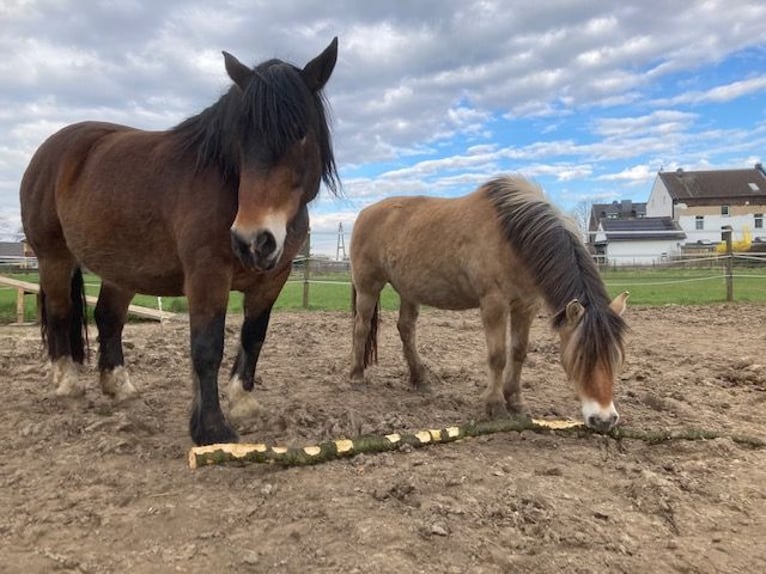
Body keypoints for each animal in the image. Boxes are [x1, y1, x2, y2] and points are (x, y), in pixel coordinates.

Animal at [20, 38, 340, 448]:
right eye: (241, 138)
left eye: (301, 132)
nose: (253, 241)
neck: (226, 183)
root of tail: (51, 149)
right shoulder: (206, 275)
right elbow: (207, 346)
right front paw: (212, 429)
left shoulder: (272, 280)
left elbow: (254, 337)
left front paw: (243, 404)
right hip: (53, 257)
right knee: (60, 313)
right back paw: (67, 385)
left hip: (123, 268)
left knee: (108, 317)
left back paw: (120, 388)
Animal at [352, 176, 632, 432]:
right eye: (581, 356)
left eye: (616, 356)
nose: (604, 420)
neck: (514, 238)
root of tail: (365, 213)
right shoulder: (494, 304)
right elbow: (497, 356)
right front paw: (495, 405)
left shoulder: (526, 306)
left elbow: (518, 352)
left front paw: (515, 401)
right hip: (368, 287)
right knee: (361, 327)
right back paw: (357, 375)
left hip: (409, 291)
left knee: (406, 329)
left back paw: (419, 378)